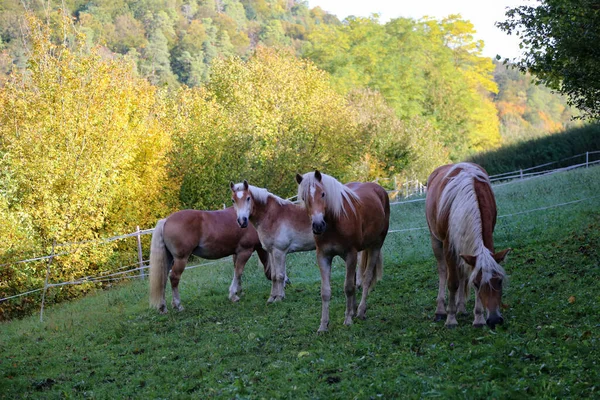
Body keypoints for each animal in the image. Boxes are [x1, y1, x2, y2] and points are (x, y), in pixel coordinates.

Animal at [294, 170, 390, 332]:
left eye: (323, 194)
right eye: (304, 197)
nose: (318, 225)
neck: (335, 223)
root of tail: (379, 190)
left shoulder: (351, 254)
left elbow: (348, 287)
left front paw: (348, 320)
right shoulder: (323, 256)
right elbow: (326, 291)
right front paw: (323, 326)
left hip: (376, 245)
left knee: (366, 278)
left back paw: (360, 311)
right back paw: (354, 309)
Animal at [422, 162, 510, 328]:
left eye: (499, 281)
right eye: (476, 283)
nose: (494, 319)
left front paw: (478, 317)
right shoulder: (448, 245)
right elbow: (452, 282)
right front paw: (451, 319)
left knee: (462, 273)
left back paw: (461, 308)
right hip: (436, 241)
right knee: (443, 271)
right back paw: (440, 310)